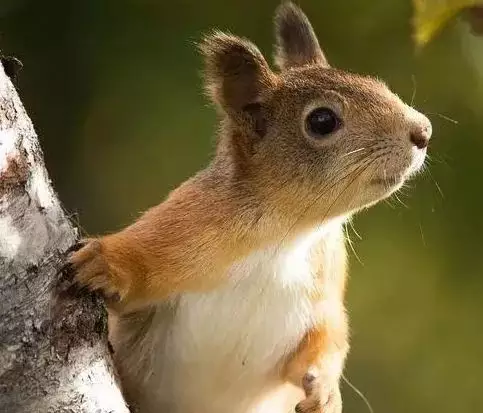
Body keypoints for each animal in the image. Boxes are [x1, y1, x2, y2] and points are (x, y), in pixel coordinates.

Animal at [67, 3, 432, 412]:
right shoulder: (183, 225)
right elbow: (141, 260)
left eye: (378, 84)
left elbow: (327, 338)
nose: (423, 131)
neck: (286, 234)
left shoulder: (325, 288)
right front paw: (103, 262)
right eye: (322, 121)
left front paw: (325, 390)